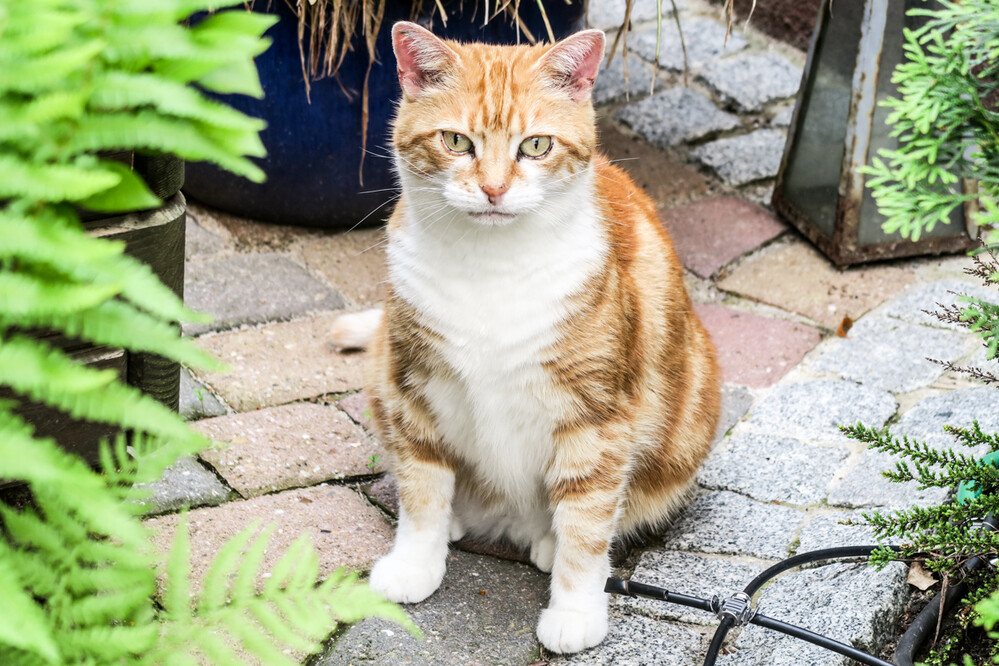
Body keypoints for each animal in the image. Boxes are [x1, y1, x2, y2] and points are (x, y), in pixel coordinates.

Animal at [332, 22, 724, 652]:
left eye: (536, 146)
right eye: (456, 141)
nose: (493, 189)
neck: (489, 269)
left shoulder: (596, 418)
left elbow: (586, 526)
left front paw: (575, 610)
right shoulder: (413, 385)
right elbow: (421, 489)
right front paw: (416, 561)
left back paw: (545, 542)